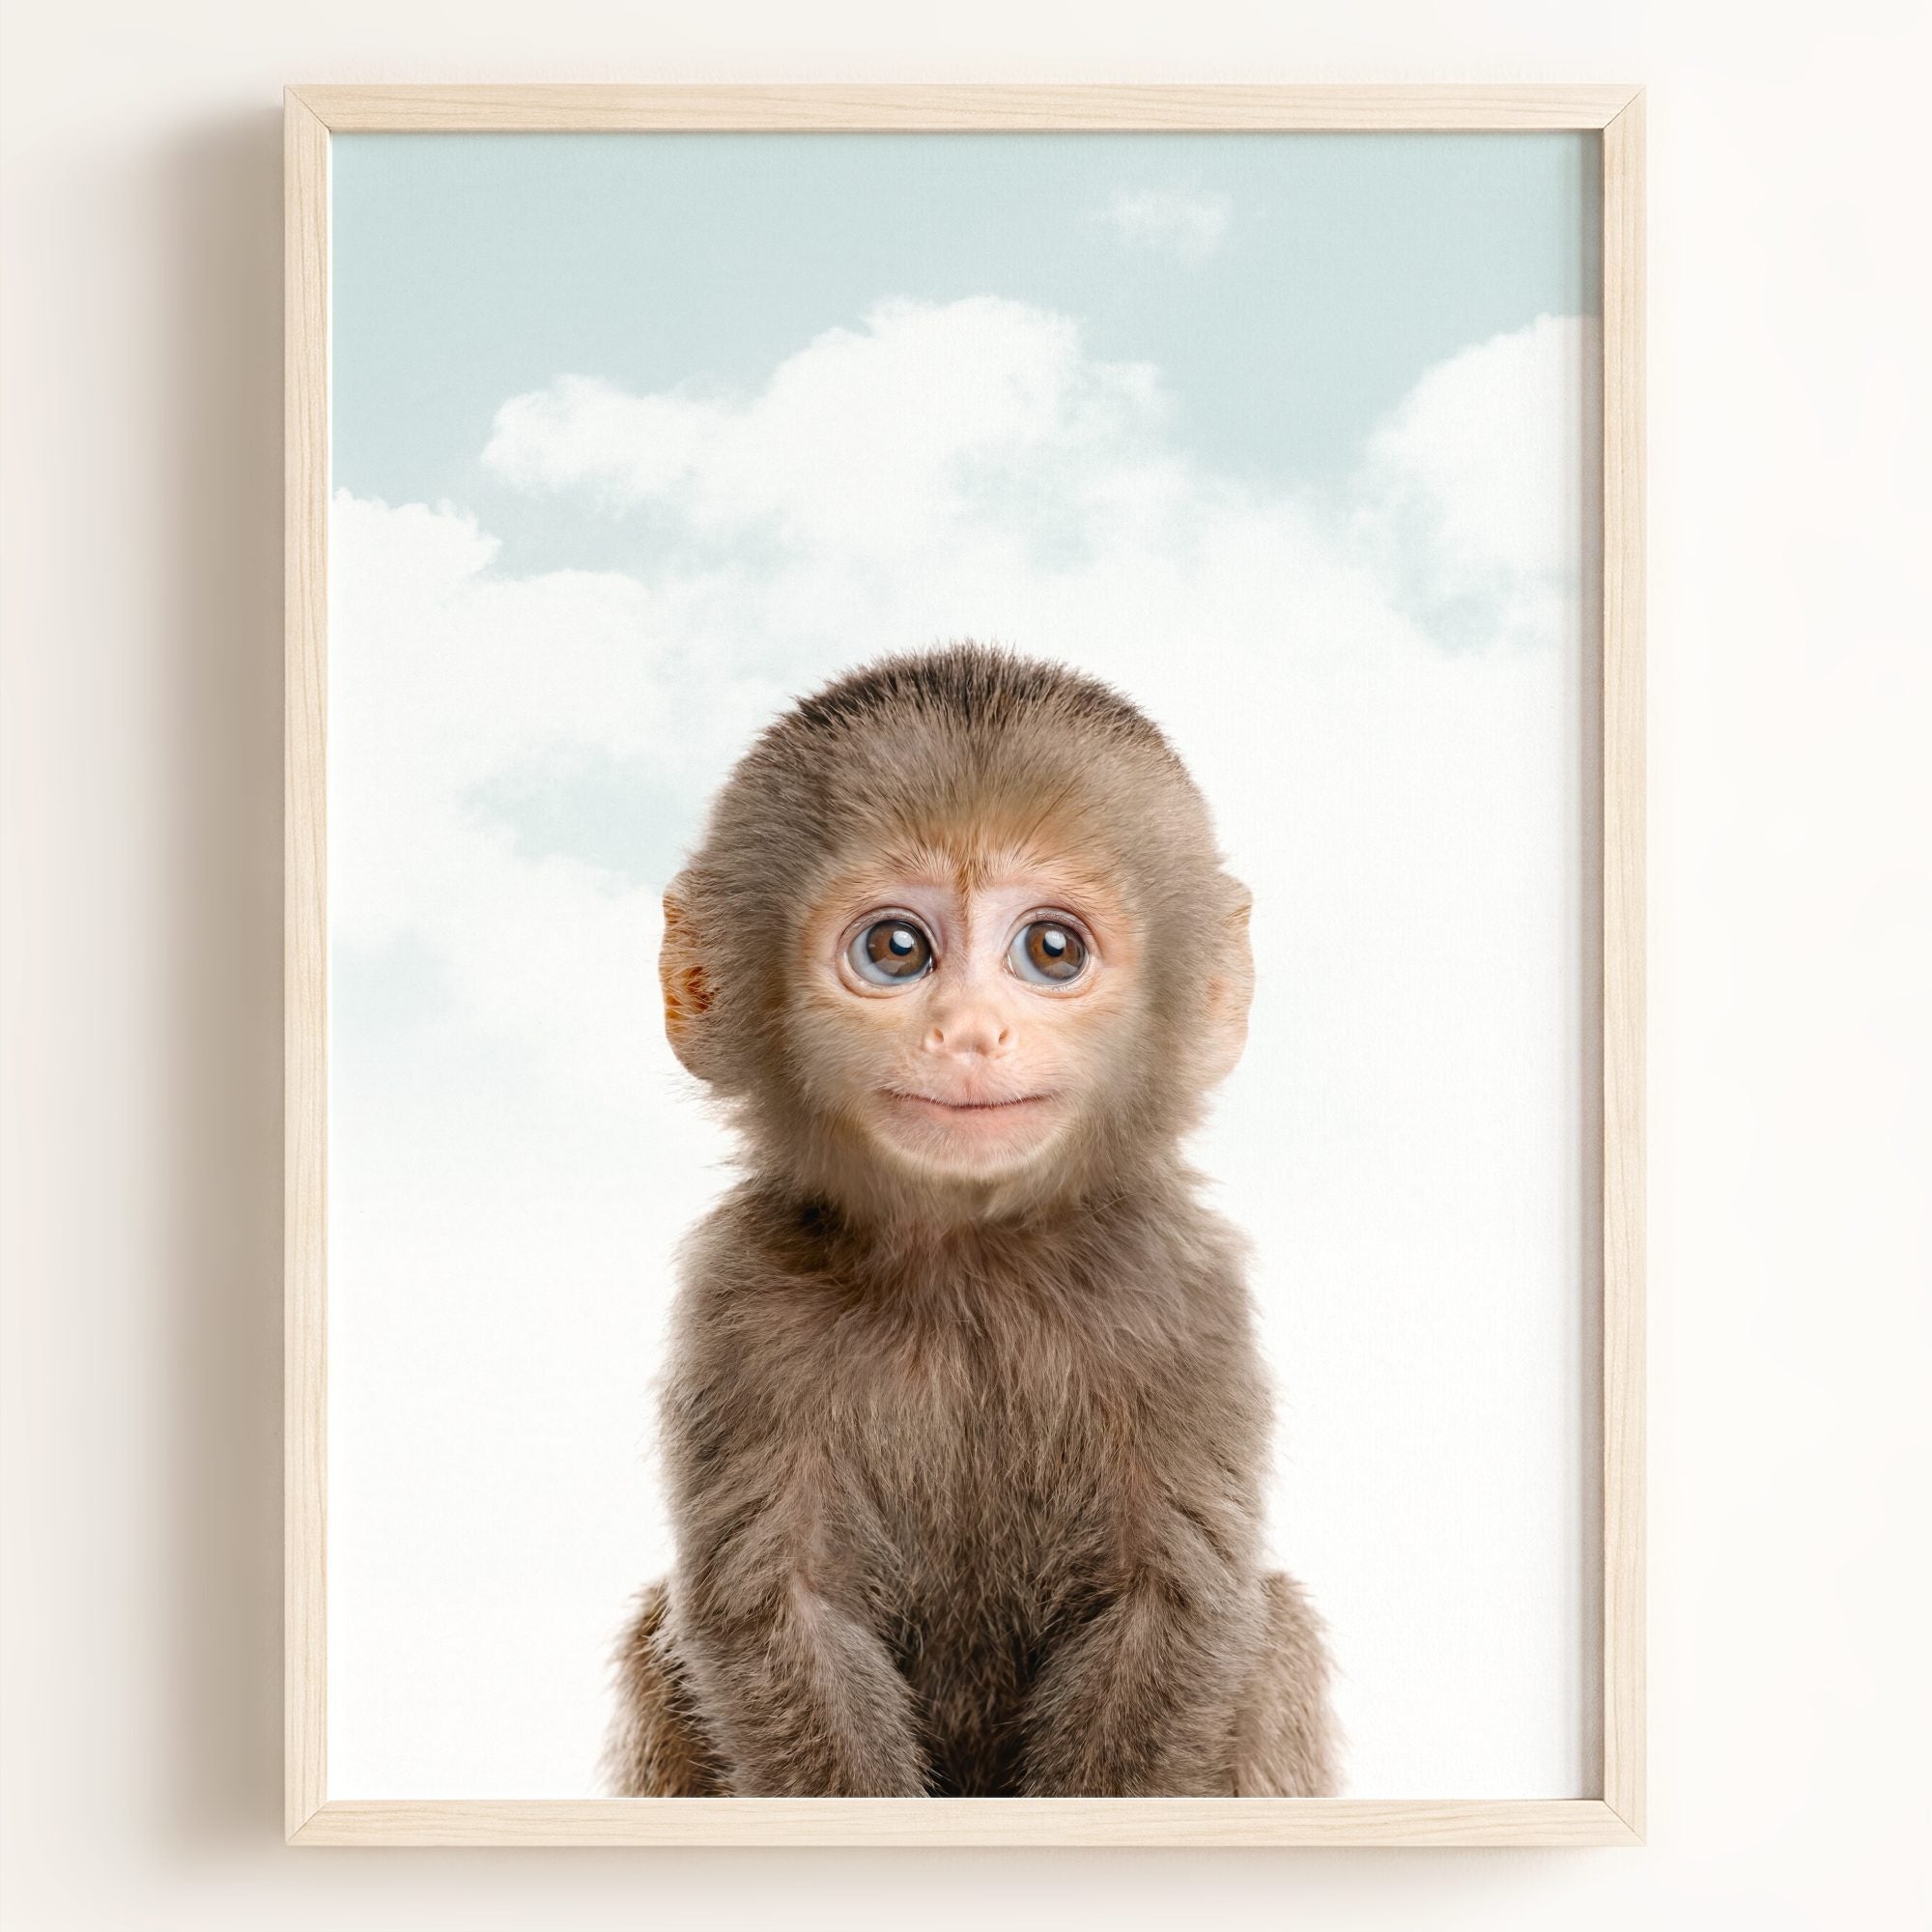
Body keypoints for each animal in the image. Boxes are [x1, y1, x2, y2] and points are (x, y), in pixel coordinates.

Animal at [606, 643, 1337, 1798]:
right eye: (897, 948)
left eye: (1052, 950)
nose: (969, 1032)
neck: (969, 1263)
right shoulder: (739, 1295)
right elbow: (777, 1610)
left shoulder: (1184, 1292)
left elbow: (1171, 1604)